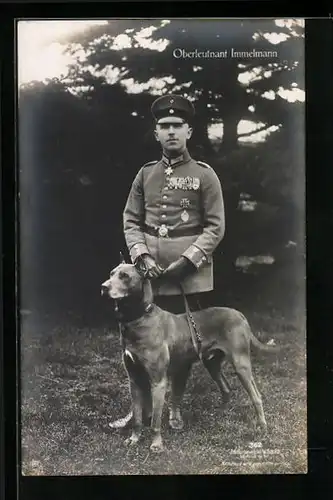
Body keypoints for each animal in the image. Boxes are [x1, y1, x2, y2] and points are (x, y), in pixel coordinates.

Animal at [100, 264, 278, 452]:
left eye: (125, 276)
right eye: (111, 273)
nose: (103, 287)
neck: (139, 318)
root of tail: (240, 315)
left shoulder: (158, 382)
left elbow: (155, 420)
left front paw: (156, 444)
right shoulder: (134, 380)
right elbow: (137, 417)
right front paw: (134, 439)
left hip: (240, 364)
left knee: (256, 396)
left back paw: (262, 425)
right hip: (212, 364)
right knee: (226, 387)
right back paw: (222, 412)